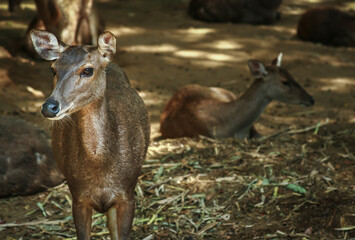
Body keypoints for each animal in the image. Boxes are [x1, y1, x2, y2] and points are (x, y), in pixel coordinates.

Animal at [28, 29, 149, 238]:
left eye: (87, 70)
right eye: (53, 69)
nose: (49, 107)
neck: (101, 166)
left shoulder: (127, 195)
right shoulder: (78, 197)